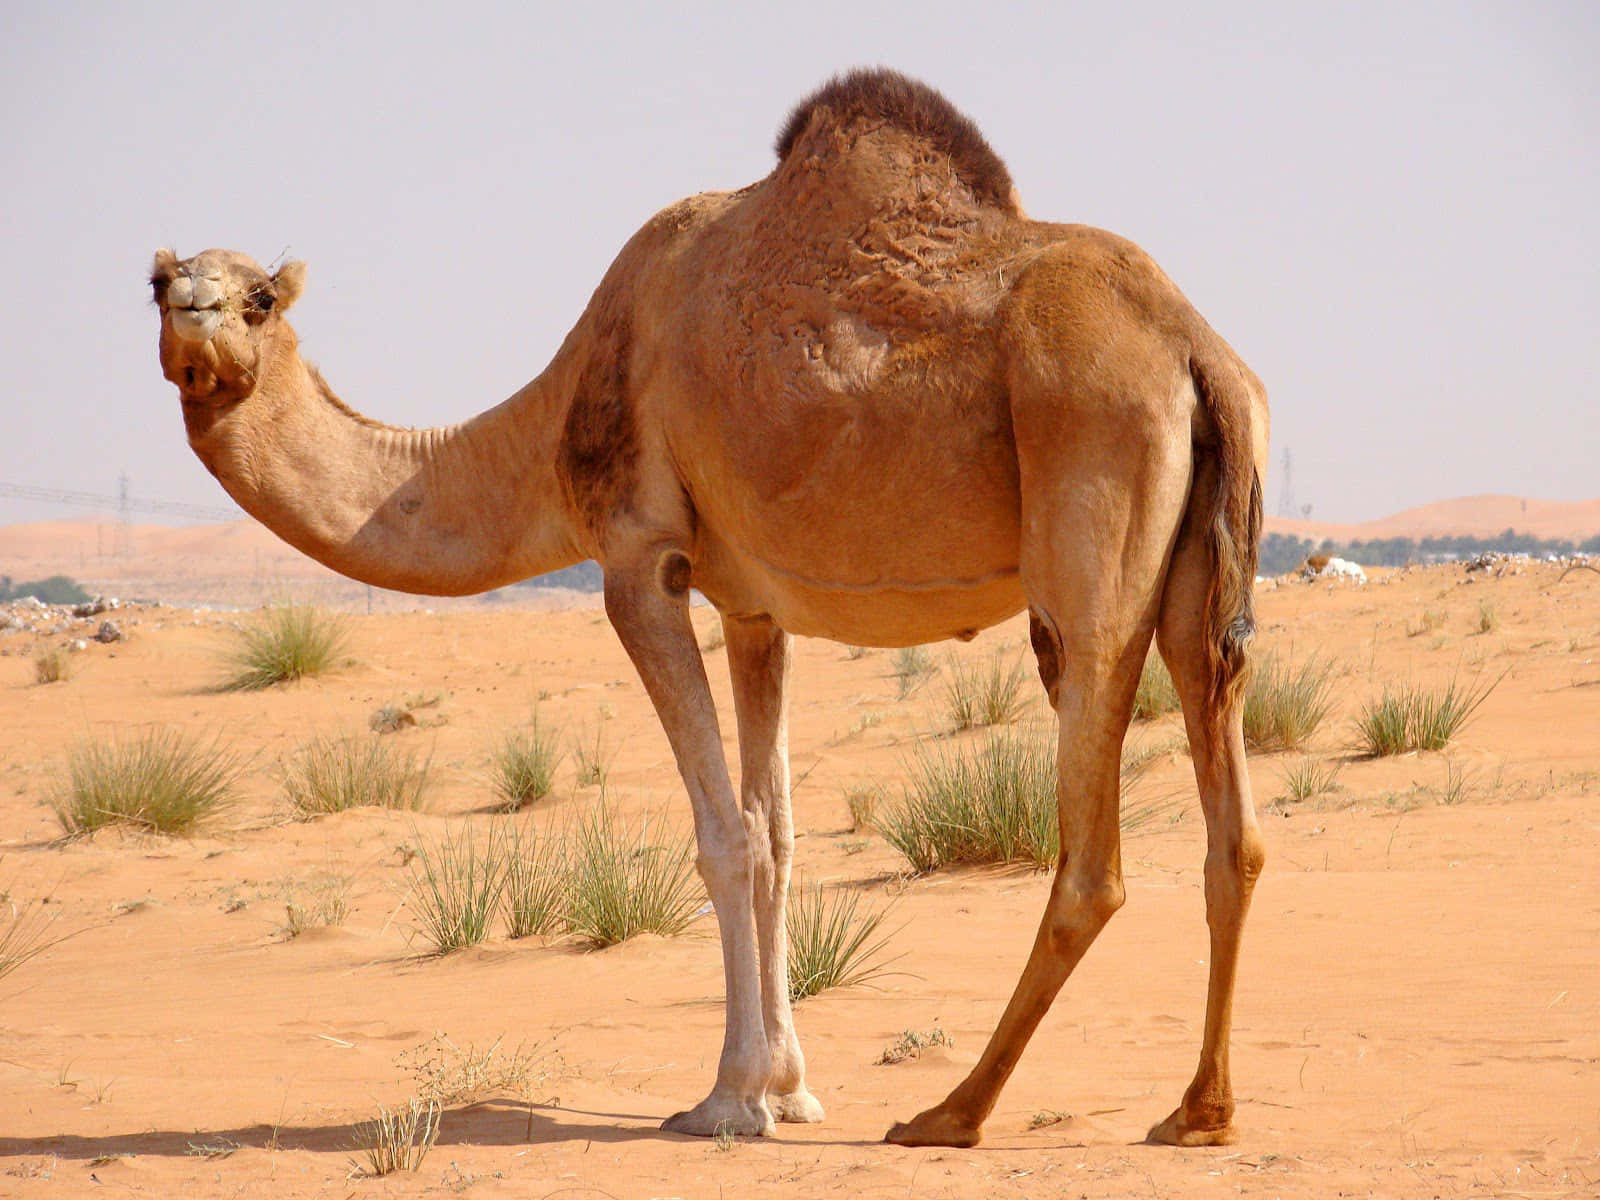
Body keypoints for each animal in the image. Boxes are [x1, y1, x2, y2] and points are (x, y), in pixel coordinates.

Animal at [152, 68, 1273, 1158]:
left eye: (259, 298)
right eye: (158, 285)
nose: (195, 317)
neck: (554, 420)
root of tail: (1197, 349)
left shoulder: (639, 560)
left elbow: (723, 835)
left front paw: (730, 1099)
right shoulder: (753, 610)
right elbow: (776, 833)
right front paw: (790, 1088)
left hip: (1088, 506)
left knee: (1091, 850)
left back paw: (951, 1114)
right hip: (1200, 567)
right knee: (1234, 824)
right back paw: (1197, 1112)